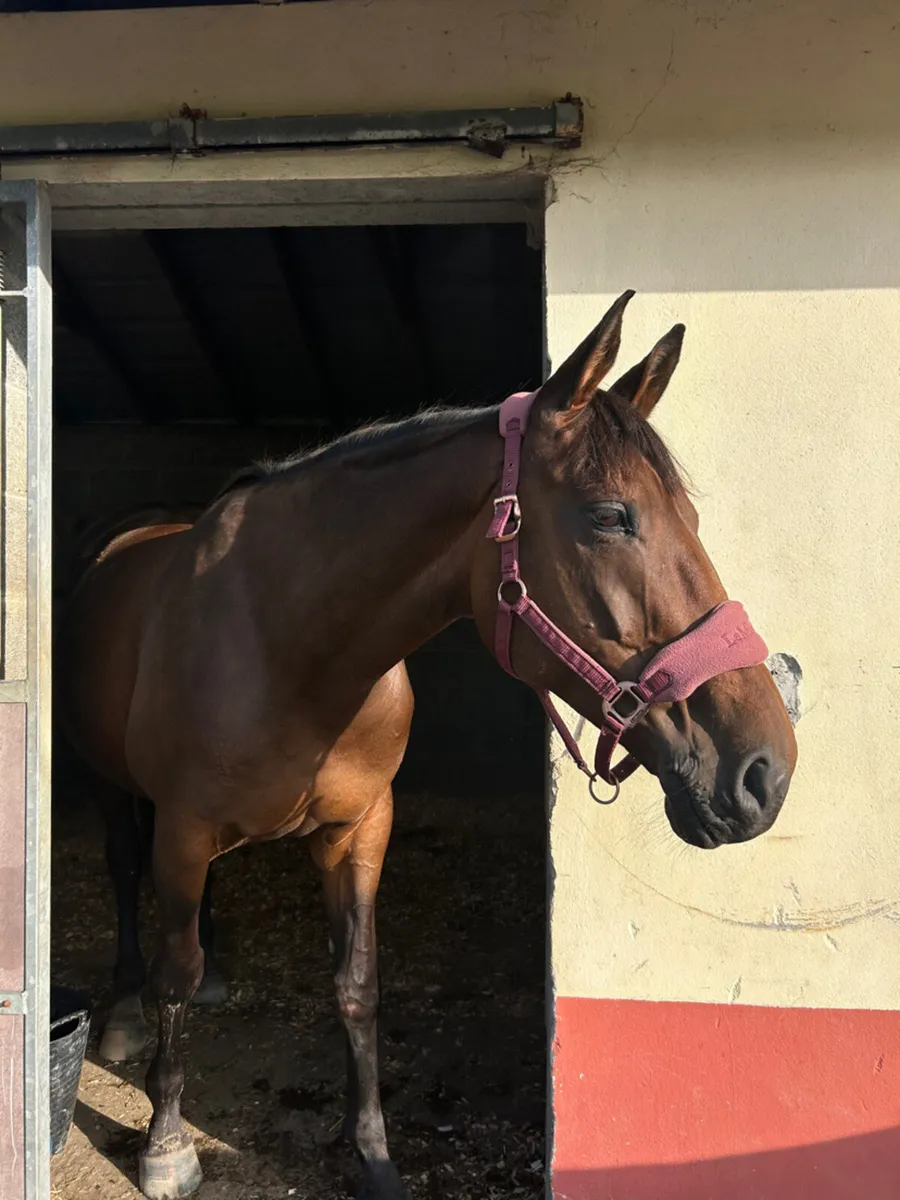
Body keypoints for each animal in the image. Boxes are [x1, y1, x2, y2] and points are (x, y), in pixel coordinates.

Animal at [57, 291, 797, 1200]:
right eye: (610, 516)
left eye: (688, 516)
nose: (764, 771)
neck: (283, 643)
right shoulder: (187, 828)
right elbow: (175, 976)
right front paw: (166, 1142)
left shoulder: (359, 828)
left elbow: (356, 983)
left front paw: (373, 1155)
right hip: (118, 792)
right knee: (131, 885)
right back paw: (125, 1011)